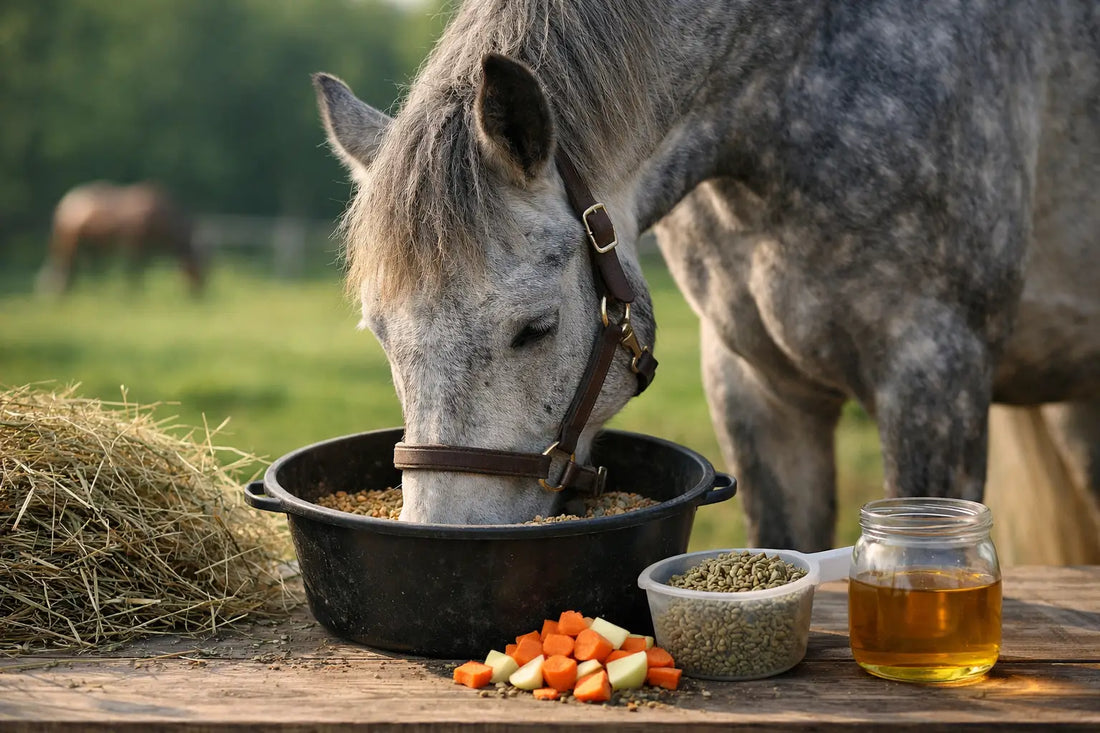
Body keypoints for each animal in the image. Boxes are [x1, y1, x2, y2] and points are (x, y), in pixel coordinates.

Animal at [36, 181, 205, 296]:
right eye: (198, 269)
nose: (200, 294)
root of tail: (64, 204)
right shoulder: (134, 243)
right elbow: (134, 270)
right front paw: (133, 294)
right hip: (69, 241)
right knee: (63, 267)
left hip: (83, 245)